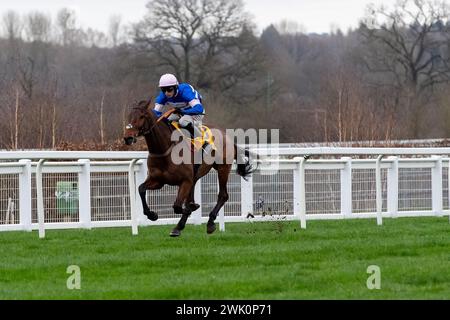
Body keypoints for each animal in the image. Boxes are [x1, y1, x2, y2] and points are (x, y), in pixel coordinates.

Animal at [123, 99, 255, 236]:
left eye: (141, 116)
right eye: (128, 116)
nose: (128, 137)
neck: (165, 149)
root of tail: (226, 136)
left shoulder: (185, 181)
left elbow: (177, 206)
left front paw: (192, 208)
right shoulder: (158, 180)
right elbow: (141, 189)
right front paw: (152, 214)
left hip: (223, 168)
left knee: (223, 195)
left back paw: (210, 222)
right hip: (196, 177)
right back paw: (179, 226)